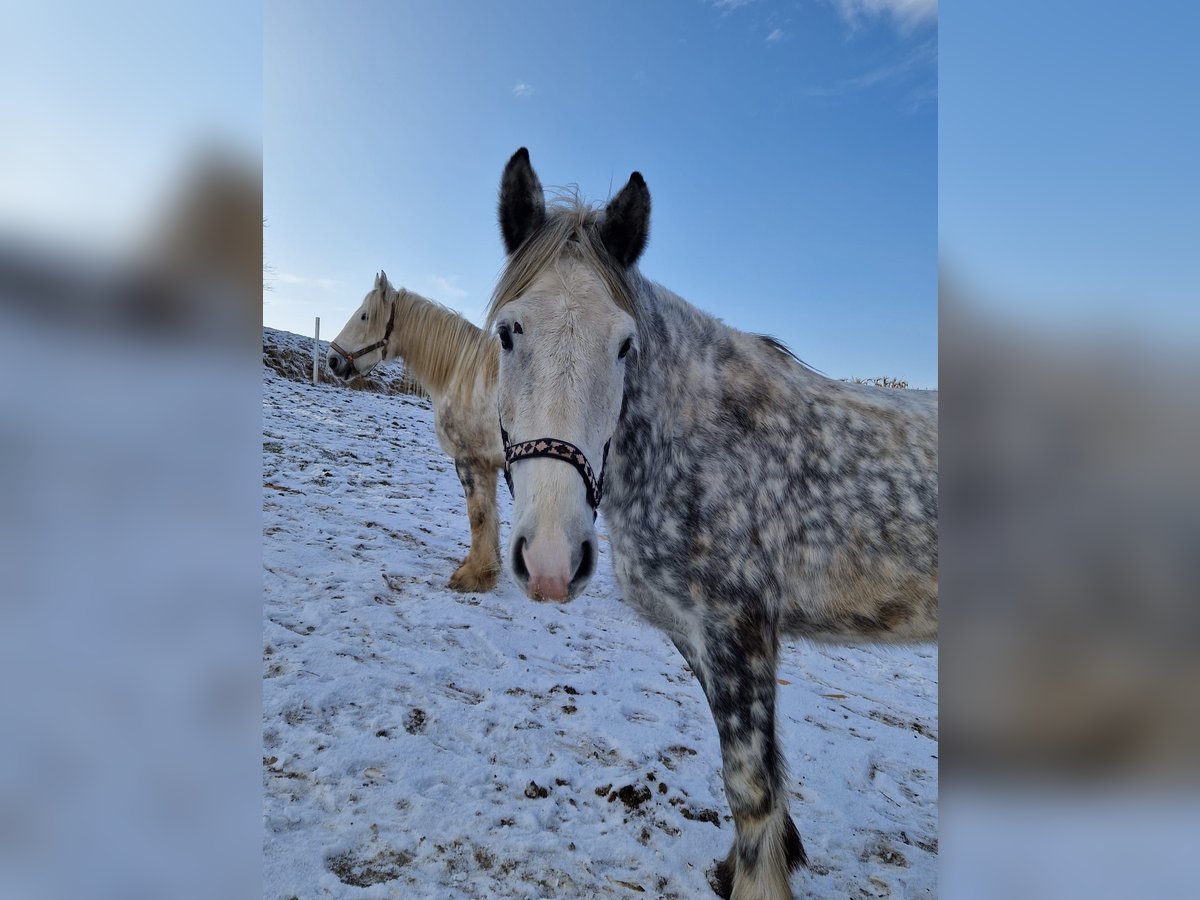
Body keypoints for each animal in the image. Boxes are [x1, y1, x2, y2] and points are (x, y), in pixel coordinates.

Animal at [326, 273, 504, 592]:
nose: (333, 361)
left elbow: (479, 514)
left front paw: (473, 575)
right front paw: (487, 569)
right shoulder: (488, 463)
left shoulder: (469, 459)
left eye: (364, 315)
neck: (468, 377)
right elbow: (490, 514)